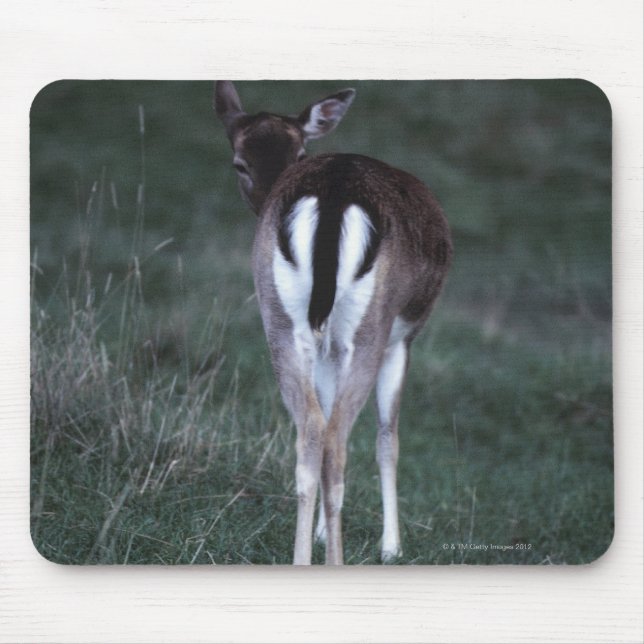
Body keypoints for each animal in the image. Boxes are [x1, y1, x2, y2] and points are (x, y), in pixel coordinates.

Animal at [214, 81, 452, 565]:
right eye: (240, 163)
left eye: (299, 151)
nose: (264, 196)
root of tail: (332, 196)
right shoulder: (400, 341)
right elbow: (388, 439)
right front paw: (392, 547)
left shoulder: (322, 347)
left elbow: (323, 422)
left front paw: (323, 533)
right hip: (368, 329)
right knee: (339, 441)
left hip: (281, 322)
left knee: (311, 433)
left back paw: (303, 557)